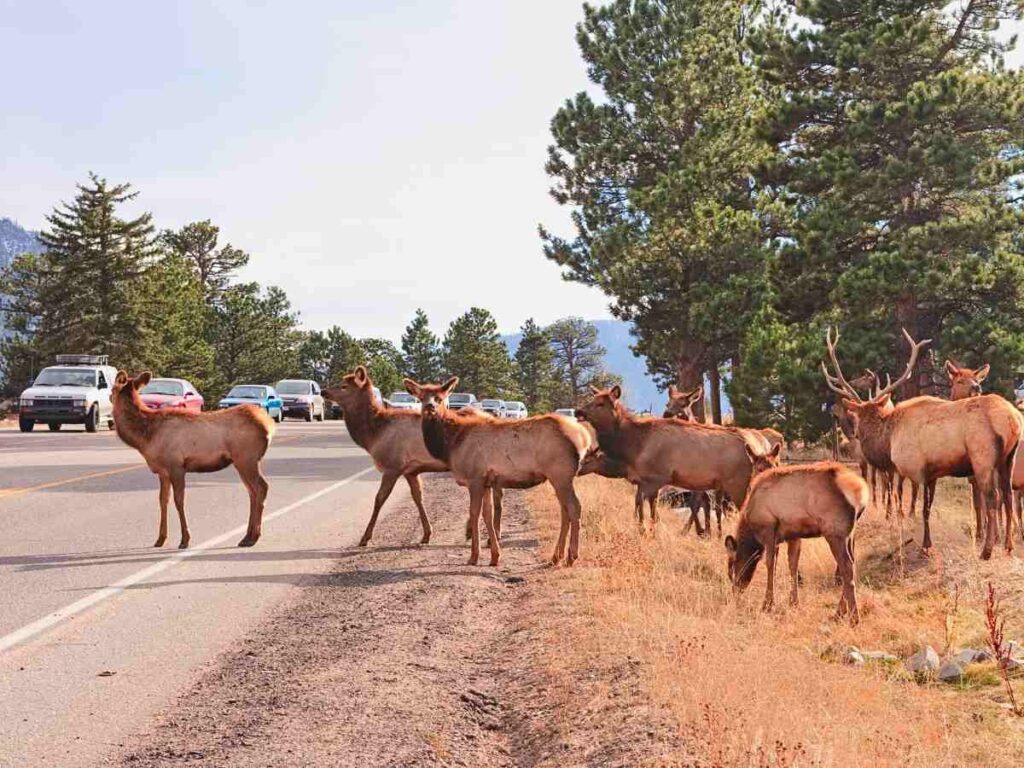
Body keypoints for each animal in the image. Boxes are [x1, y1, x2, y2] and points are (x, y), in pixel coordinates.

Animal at [110, 370, 274, 548]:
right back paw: (246, 537)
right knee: (252, 492)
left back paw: (254, 537)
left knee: (261, 487)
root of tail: (269, 426)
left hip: (247, 458)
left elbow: (179, 500)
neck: (146, 438)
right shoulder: (163, 471)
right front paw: (160, 539)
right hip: (242, 462)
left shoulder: (176, 466)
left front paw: (185, 539)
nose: (109, 397)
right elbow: (163, 500)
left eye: (112, 389)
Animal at [403, 376, 589, 569]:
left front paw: (474, 556)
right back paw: (556, 557)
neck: (451, 444)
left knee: (574, 507)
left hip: (561, 474)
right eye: (421, 397)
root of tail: (584, 437)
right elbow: (488, 515)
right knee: (564, 510)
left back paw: (571, 556)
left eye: (440, 398)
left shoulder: (475, 478)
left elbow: (474, 514)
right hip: (558, 478)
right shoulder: (487, 481)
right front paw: (494, 556)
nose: (429, 407)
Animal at [724, 462, 868, 626]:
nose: (735, 592)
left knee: (847, 567)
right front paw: (793, 602)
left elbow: (771, 565)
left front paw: (767, 604)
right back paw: (838, 613)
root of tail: (861, 491)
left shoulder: (769, 529)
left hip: (835, 532)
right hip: (850, 533)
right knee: (852, 564)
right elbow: (793, 565)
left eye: (731, 566)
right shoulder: (794, 536)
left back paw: (853, 617)